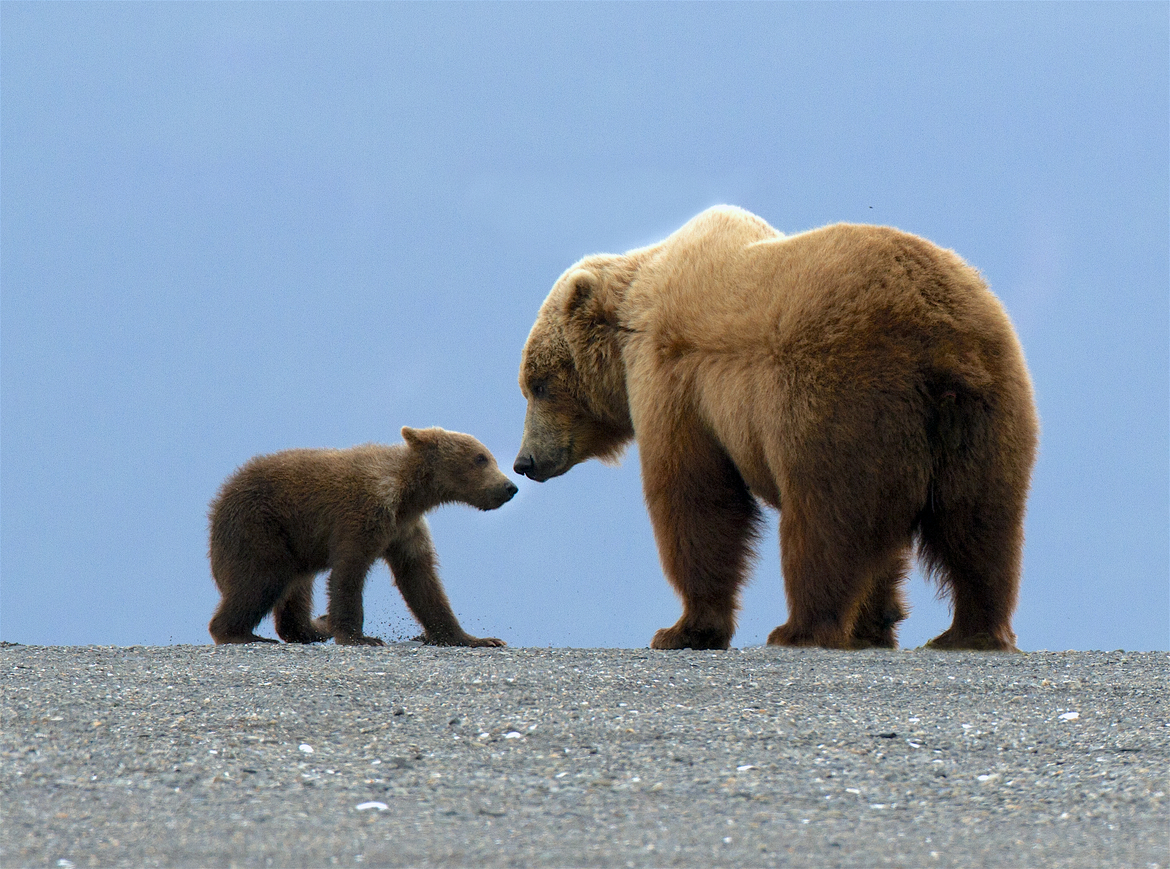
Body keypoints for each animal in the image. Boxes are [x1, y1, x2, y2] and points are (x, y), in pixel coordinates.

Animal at [208, 426, 517, 647]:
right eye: (480, 458)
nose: (509, 486)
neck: (408, 495)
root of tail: (219, 499)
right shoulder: (363, 514)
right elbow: (349, 572)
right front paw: (360, 637)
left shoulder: (405, 530)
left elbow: (421, 582)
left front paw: (477, 638)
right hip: (260, 527)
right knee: (260, 580)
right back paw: (240, 633)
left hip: (295, 542)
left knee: (295, 589)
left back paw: (313, 628)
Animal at [514, 205, 1038, 652]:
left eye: (538, 384)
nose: (525, 461)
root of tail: (939, 344)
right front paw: (877, 622)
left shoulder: (677, 378)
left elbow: (696, 497)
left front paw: (684, 629)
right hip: (987, 411)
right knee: (980, 523)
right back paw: (970, 631)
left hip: (839, 397)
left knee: (825, 522)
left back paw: (799, 629)